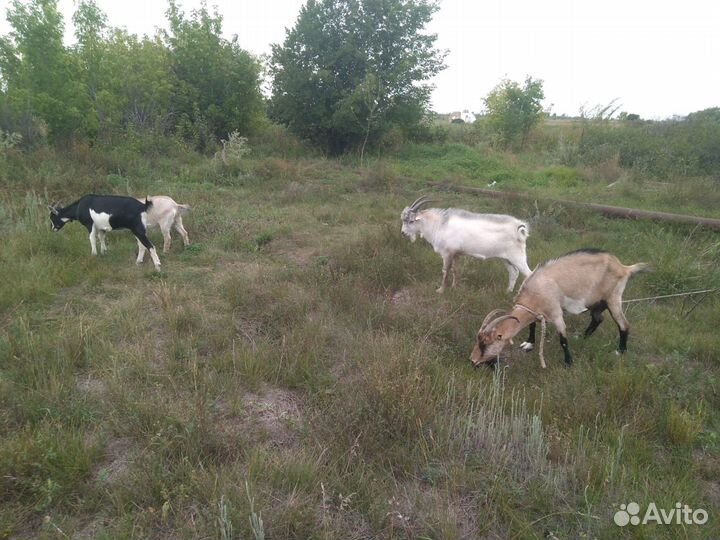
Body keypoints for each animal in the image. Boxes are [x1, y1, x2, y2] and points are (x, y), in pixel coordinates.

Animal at [400, 197, 532, 292]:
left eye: (411, 221)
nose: (403, 233)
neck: (441, 224)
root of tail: (519, 228)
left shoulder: (447, 253)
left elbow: (445, 271)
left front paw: (441, 290)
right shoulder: (456, 254)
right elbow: (455, 270)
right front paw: (454, 287)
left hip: (517, 257)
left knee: (529, 274)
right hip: (506, 259)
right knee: (514, 273)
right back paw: (508, 291)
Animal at [470, 248, 648, 368]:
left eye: (485, 344)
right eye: (478, 341)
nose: (473, 360)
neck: (536, 289)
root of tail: (624, 268)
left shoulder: (556, 313)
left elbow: (563, 339)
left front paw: (568, 362)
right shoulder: (536, 312)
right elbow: (532, 325)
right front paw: (529, 343)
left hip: (613, 298)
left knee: (624, 325)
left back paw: (620, 351)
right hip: (595, 302)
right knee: (598, 318)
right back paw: (583, 337)